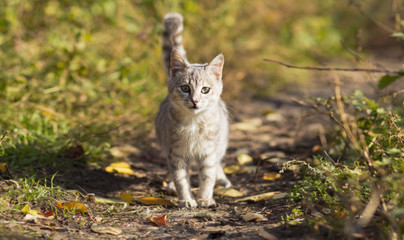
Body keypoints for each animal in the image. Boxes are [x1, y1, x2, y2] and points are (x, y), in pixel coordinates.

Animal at [155, 13, 230, 208]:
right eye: (185, 88)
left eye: (205, 90)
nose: (195, 101)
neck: (194, 124)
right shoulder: (175, 153)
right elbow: (181, 179)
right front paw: (186, 200)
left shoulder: (209, 152)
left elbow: (207, 176)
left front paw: (204, 198)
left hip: (221, 143)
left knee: (219, 162)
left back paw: (222, 179)